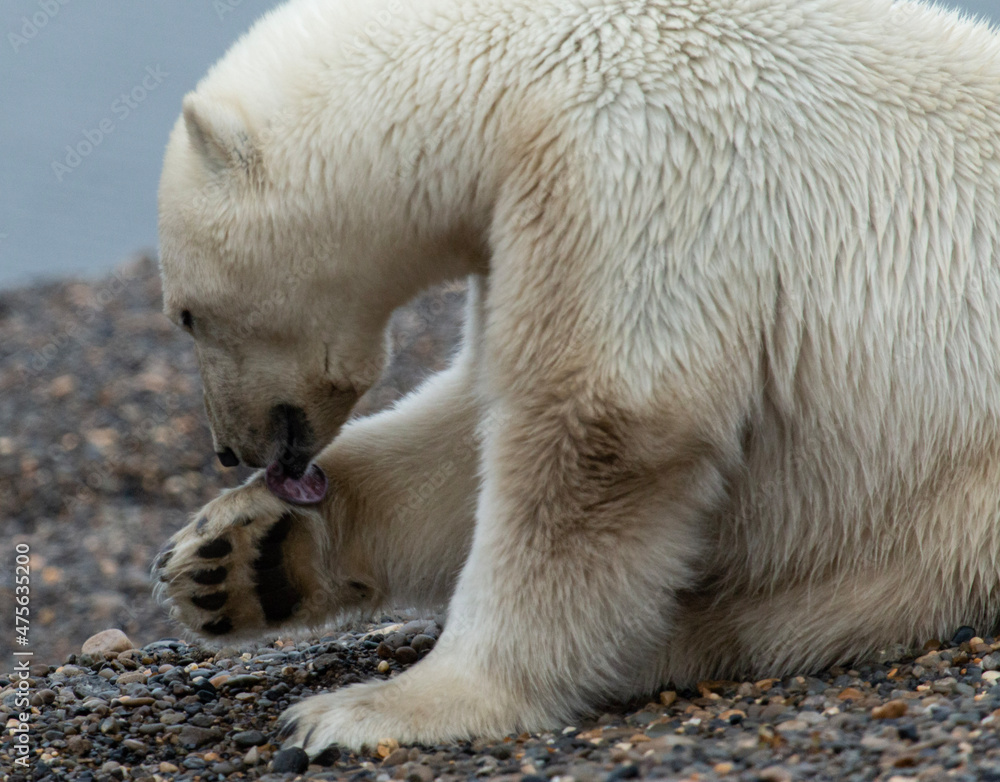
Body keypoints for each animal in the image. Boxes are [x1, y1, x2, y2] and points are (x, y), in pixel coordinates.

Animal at [155, 0, 1000, 754]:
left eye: (187, 314)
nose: (230, 448)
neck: (518, 70)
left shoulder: (638, 163)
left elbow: (599, 428)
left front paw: (384, 707)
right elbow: (466, 434)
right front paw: (237, 554)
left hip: (960, 488)